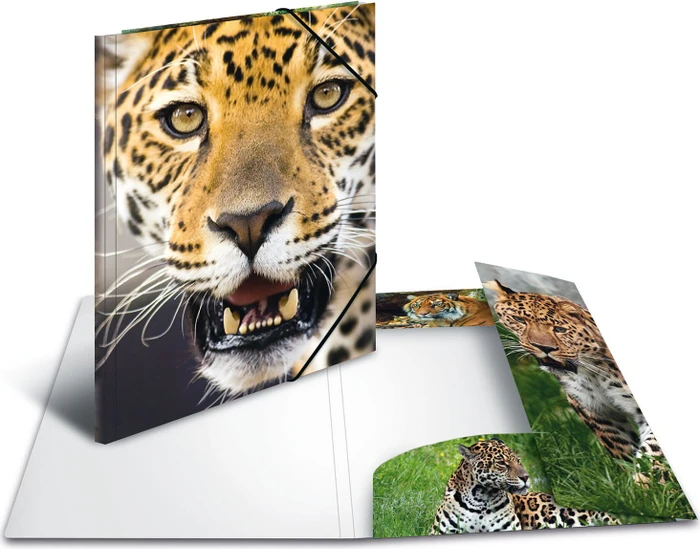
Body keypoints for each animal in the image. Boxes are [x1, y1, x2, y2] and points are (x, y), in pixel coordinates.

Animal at [484, 280, 665, 476]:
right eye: (519, 320)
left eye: (560, 329)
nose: (544, 348)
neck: (591, 372)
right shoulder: (595, 410)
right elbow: (620, 445)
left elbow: (654, 449)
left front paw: (649, 480)